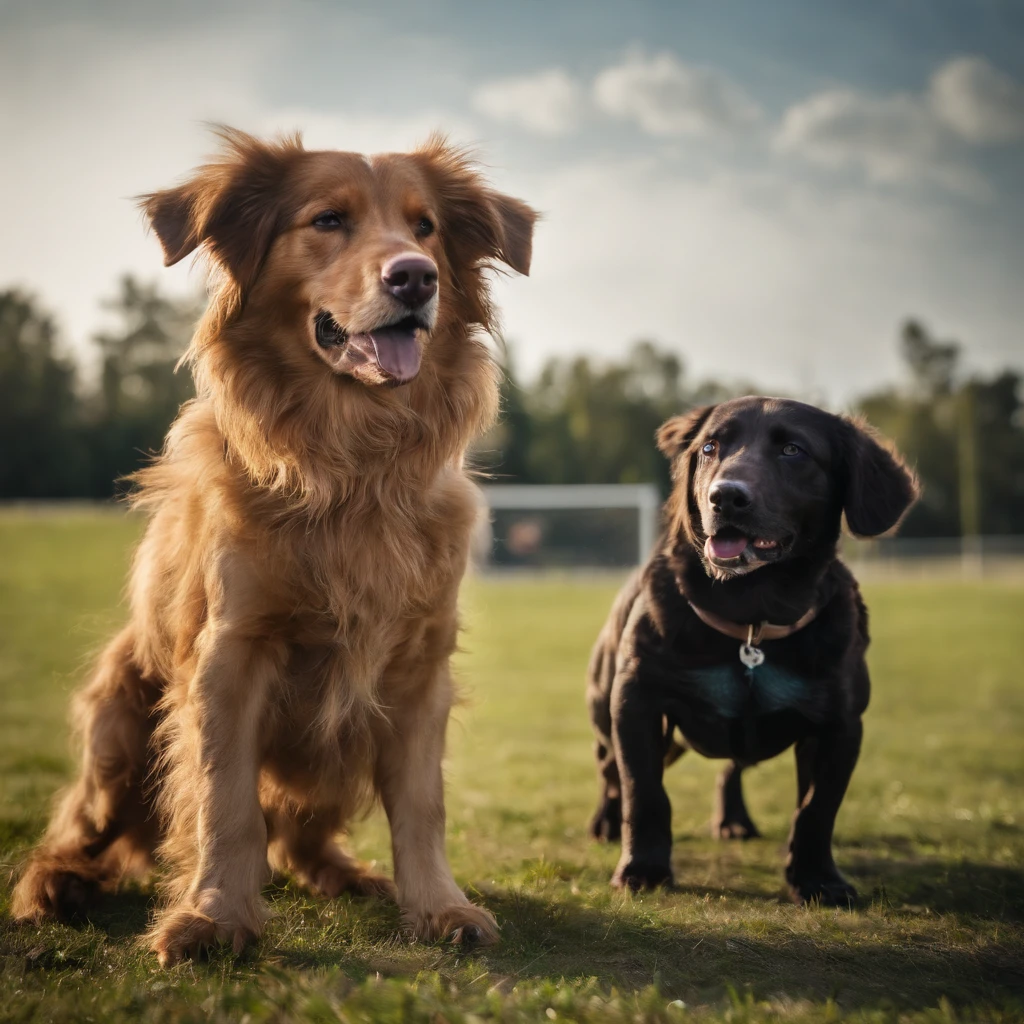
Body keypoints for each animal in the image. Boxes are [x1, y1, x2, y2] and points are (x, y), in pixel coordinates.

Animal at [14, 125, 536, 958]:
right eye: (328, 220)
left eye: (425, 227)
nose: (415, 278)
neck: (354, 463)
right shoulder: (231, 652)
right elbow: (224, 801)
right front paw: (213, 916)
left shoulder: (419, 667)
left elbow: (423, 807)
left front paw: (439, 907)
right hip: (117, 716)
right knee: (83, 827)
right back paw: (54, 885)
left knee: (299, 838)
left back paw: (346, 873)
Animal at [589, 395, 917, 901]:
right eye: (710, 447)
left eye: (793, 450)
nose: (725, 496)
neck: (751, 618)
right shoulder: (636, 702)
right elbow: (643, 792)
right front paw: (642, 869)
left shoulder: (841, 725)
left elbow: (817, 809)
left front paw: (817, 879)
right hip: (608, 712)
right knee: (609, 771)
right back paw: (605, 823)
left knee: (732, 768)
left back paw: (734, 820)